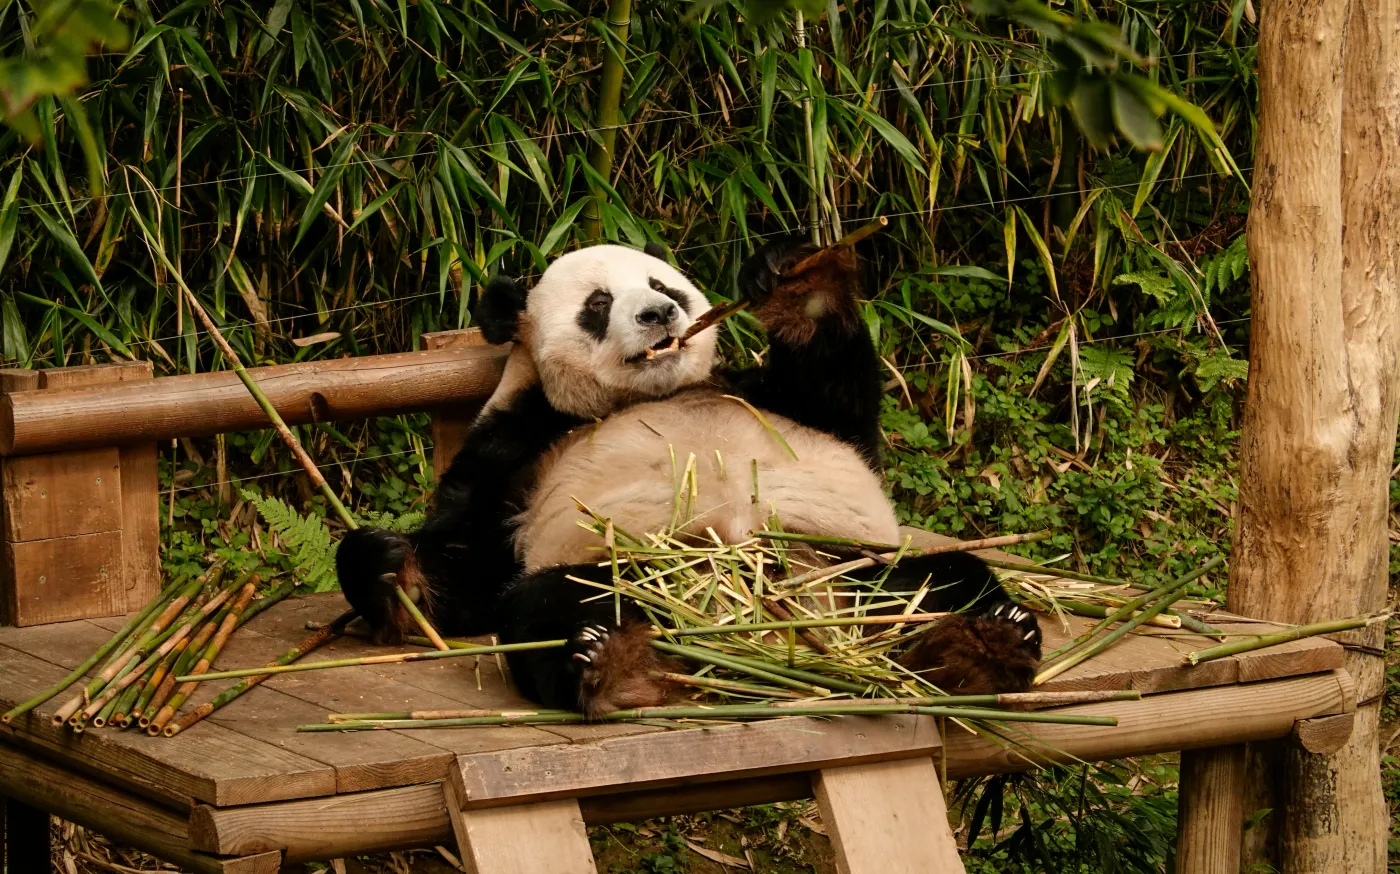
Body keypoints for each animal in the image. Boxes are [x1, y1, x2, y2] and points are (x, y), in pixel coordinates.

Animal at [336, 237, 1042, 716]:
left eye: (663, 285)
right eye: (598, 304)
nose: (656, 315)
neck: (657, 391)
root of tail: (772, 634)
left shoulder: (764, 398)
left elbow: (846, 413)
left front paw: (794, 277)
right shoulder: (520, 440)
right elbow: (468, 563)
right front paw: (385, 565)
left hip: (845, 565)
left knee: (942, 581)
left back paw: (989, 643)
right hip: (628, 577)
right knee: (545, 608)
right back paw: (605, 664)